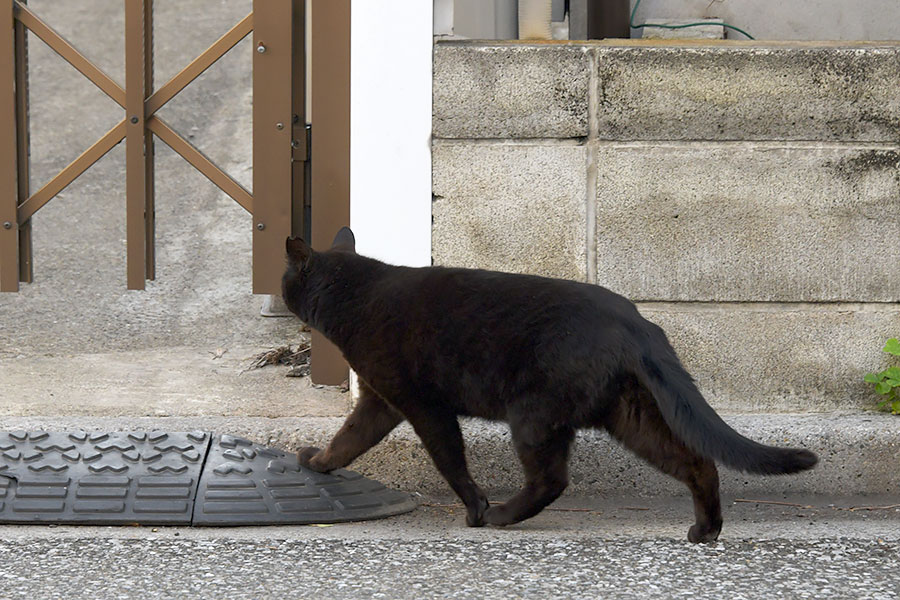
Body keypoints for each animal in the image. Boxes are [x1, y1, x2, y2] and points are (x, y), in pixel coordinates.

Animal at [284, 227, 820, 540]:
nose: (278, 285)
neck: (357, 296)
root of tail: (636, 323)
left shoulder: (421, 404)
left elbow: (448, 460)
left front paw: (475, 507)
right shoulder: (381, 401)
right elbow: (348, 440)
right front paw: (317, 462)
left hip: (534, 415)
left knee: (552, 479)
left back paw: (500, 515)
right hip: (629, 416)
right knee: (696, 462)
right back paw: (705, 530)